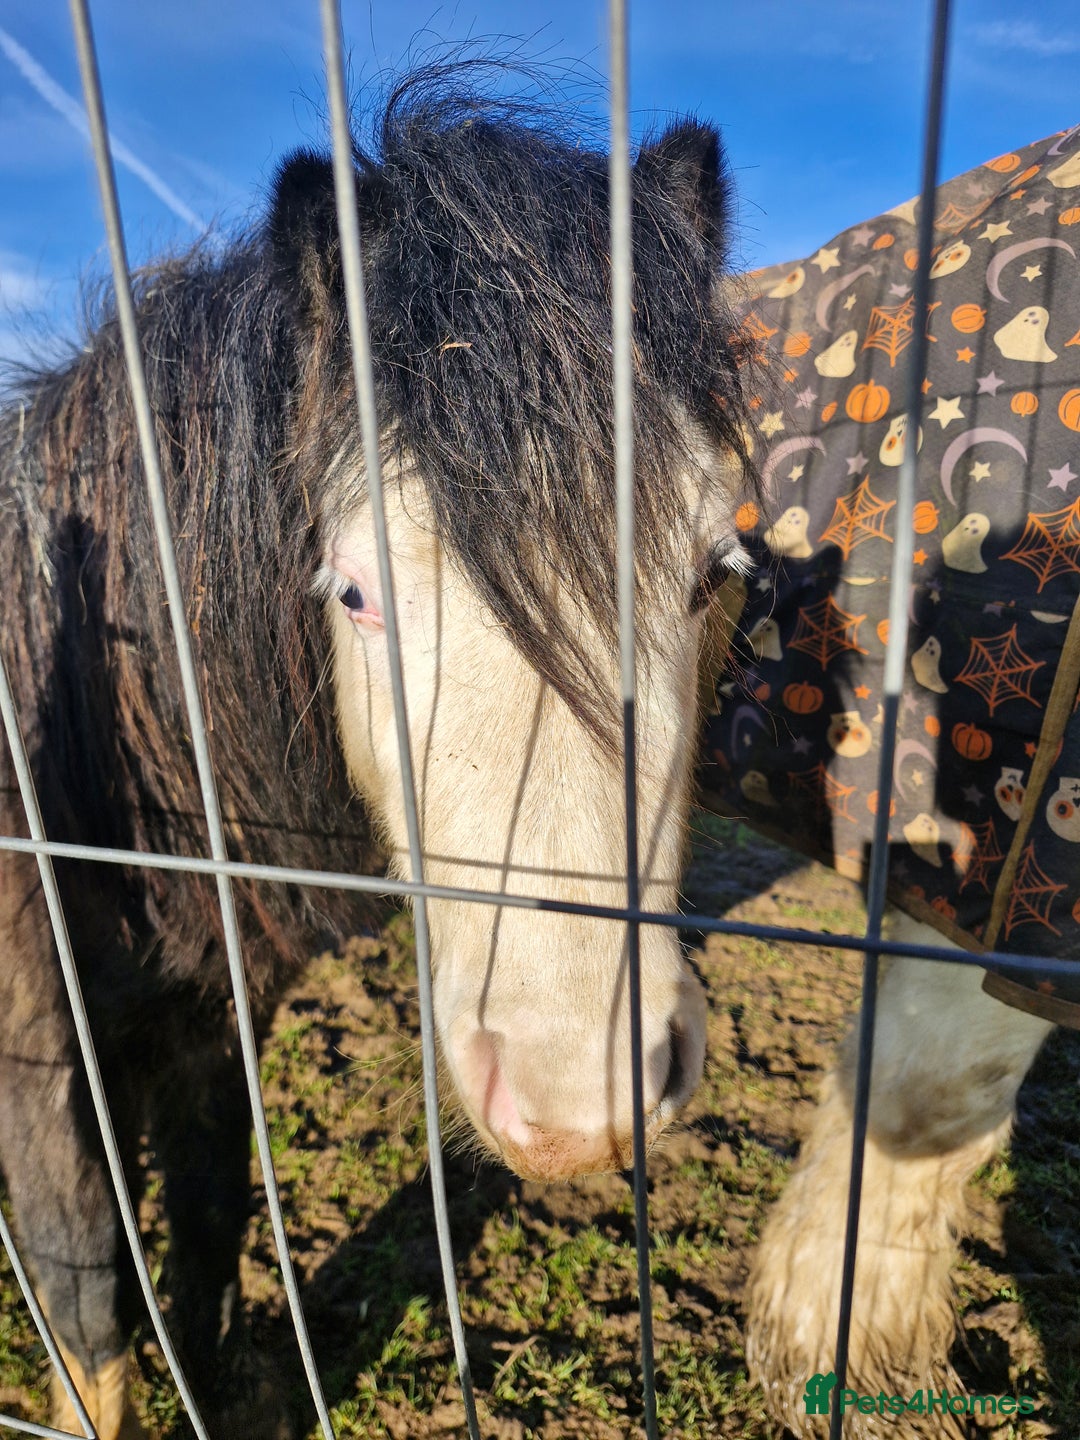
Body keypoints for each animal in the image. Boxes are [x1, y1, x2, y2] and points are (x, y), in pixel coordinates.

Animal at [0, 71, 756, 1438]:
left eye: (715, 572)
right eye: (353, 594)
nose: (577, 1090)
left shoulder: (213, 1005)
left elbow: (206, 1219)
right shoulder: (34, 1040)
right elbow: (85, 1305)